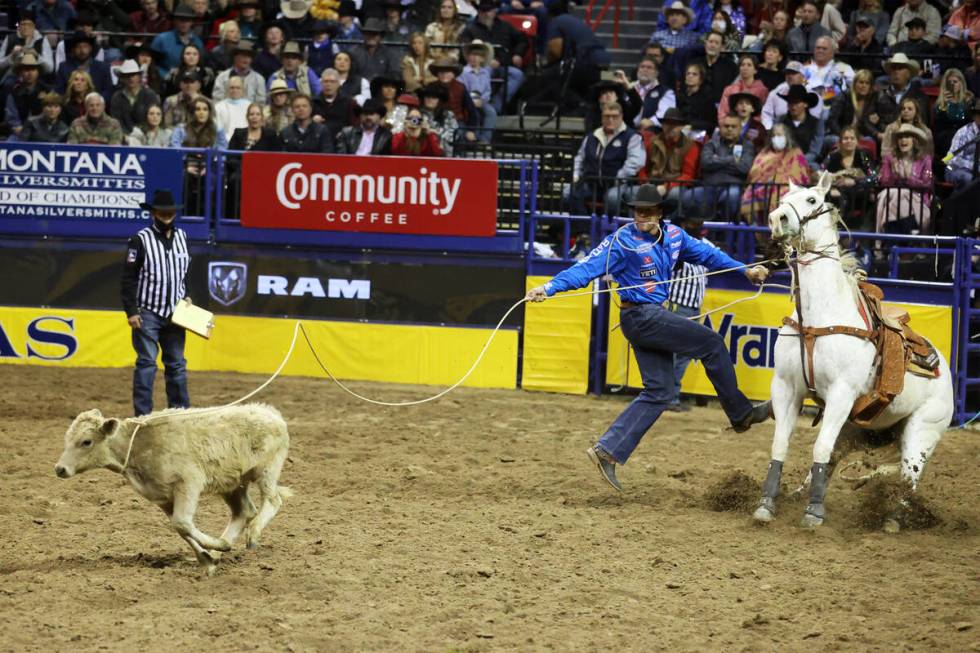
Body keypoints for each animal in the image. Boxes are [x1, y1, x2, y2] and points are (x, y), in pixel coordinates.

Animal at [756, 173, 952, 528]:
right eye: (782, 201)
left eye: (812, 200)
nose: (778, 219)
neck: (820, 316)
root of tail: (944, 369)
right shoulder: (786, 387)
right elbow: (780, 445)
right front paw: (767, 504)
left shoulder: (841, 394)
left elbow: (819, 448)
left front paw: (814, 514)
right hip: (860, 427)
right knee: (840, 459)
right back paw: (807, 492)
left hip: (923, 431)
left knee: (908, 478)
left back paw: (892, 518)